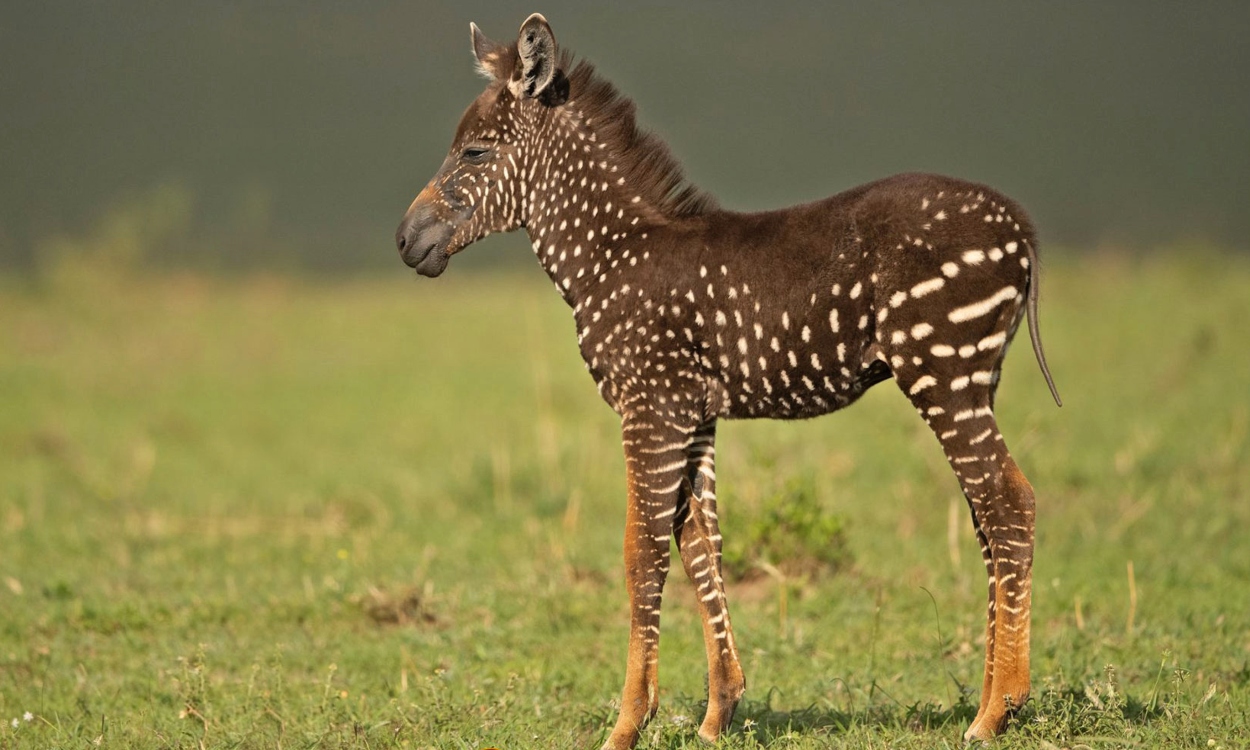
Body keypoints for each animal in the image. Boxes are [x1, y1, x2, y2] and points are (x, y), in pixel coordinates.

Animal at [395, 13, 1060, 750]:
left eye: (475, 153)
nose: (405, 240)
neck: (610, 255)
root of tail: (1019, 227)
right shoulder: (694, 414)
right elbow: (701, 548)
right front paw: (719, 712)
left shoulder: (650, 407)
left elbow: (642, 553)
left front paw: (628, 723)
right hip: (973, 379)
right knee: (988, 516)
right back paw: (996, 698)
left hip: (943, 370)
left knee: (1009, 503)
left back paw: (996, 711)